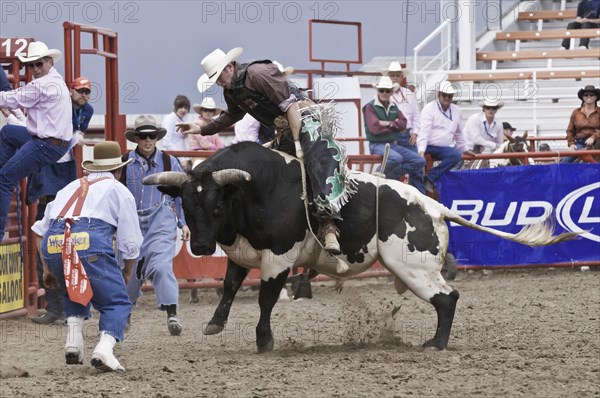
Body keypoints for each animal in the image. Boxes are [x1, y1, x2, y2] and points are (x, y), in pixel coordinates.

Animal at [143, 142, 580, 352]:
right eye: (187, 206)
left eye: (217, 206)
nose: (201, 246)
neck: (256, 190)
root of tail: (434, 206)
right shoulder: (243, 252)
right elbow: (231, 285)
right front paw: (215, 323)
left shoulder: (279, 258)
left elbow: (266, 298)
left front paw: (264, 341)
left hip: (413, 267)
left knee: (447, 297)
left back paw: (436, 344)